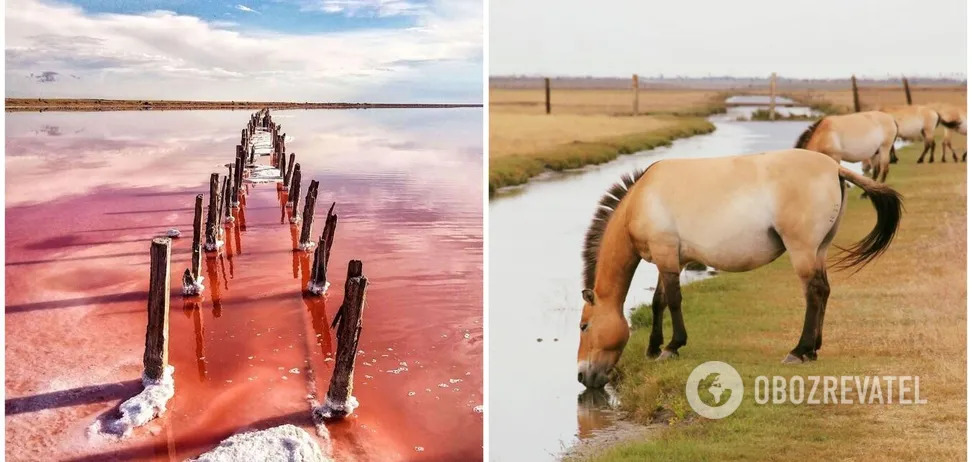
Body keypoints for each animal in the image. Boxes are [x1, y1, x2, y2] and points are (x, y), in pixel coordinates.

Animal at [576, 150, 904, 388]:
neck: (641, 199)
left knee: (813, 292)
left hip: (802, 250)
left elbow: (673, 300)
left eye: (584, 326)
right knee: (823, 291)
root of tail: (834, 167)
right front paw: (653, 348)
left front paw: (672, 346)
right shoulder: (667, 259)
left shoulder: (665, 254)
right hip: (819, 250)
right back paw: (813, 348)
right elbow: (659, 302)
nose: (581, 376)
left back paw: (798, 351)